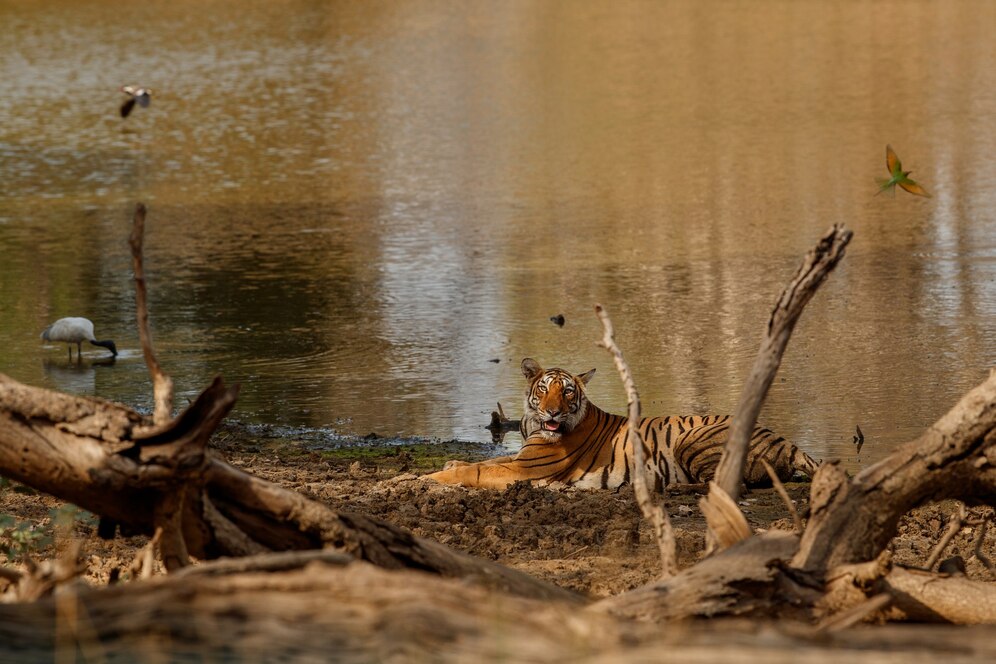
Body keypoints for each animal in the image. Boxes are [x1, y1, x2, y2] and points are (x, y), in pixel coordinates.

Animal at [424, 358, 820, 492]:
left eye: (568, 392)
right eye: (544, 389)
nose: (553, 413)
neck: (533, 425)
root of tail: (786, 441)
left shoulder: (525, 468)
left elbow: (477, 471)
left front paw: (431, 476)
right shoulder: (519, 459)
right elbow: (485, 460)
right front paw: (451, 461)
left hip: (691, 439)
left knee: (725, 484)